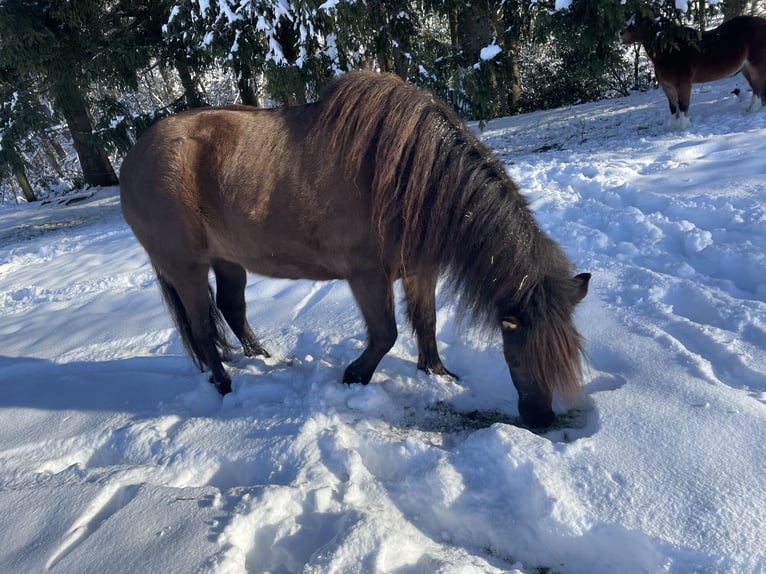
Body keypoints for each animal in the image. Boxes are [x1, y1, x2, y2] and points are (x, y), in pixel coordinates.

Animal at [120, 72, 592, 430]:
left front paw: (438, 375)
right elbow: (386, 334)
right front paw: (354, 377)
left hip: (229, 260)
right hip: (186, 267)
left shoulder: (420, 269)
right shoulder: (366, 276)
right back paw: (224, 386)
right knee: (203, 330)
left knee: (233, 310)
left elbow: (426, 323)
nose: (541, 419)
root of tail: (134, 158)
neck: (409, 175)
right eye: (518, 359)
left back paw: (265, 361)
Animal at [620, 12, 766, 130]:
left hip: (755, 66)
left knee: (757, 88)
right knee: (757, 88)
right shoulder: (667, 87)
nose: (621, 33)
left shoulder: (683, 84)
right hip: (745, 69)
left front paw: (684, 127)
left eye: (637, 22)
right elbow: (673, 107)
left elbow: (683, 105)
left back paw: (752, 110)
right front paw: (674, 127)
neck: (670, 50)